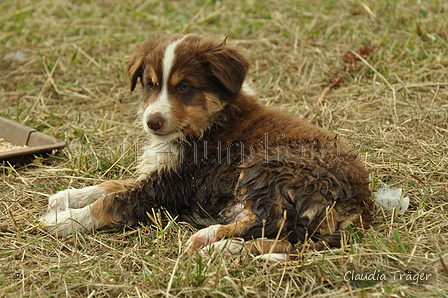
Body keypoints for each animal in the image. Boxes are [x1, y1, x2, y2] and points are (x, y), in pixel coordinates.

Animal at [41, 33, 372, 256]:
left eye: (185, 87)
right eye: (150, 85)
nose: (152, 121)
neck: (210, 122)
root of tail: (359, 205)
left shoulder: (173, 185)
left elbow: (115, 200)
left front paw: (64, 221)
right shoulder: (162, 171)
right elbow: (114, 185)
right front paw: (68, 196)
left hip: (269, 166)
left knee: (275, 227)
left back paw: (214, 242)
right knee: (279, 236)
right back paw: (219, 242)